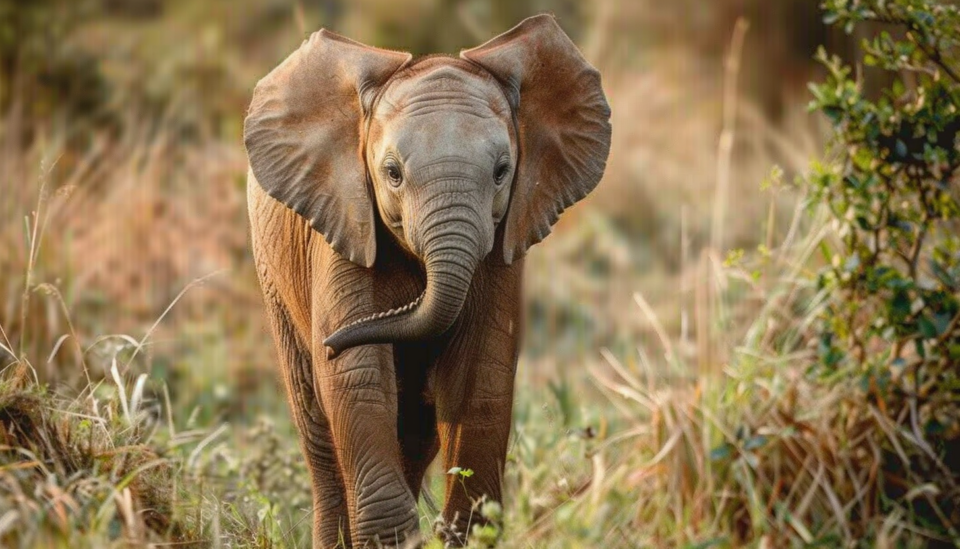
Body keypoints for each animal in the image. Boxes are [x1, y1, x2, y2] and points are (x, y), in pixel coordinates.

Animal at [244, 13, 612, 548]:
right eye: (392, 173)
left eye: (502, 171)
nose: (330, 343)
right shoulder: (341, 225)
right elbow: (356, 377)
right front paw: (389, 536)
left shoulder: (501, 246)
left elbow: (480, 373)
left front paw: (465, 531)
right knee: (317, 428)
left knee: (415, 430)